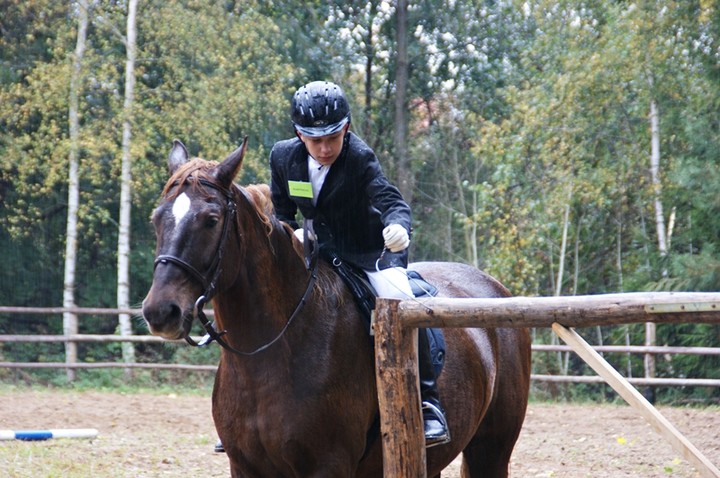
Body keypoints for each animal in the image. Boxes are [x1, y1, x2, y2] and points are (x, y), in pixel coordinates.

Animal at [142, 136, 536, 476]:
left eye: (211, 221)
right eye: (156, 219)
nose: (160, 312)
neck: (268, 353)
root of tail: (494, 287)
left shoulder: (328, 465)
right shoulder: (245, 466)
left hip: (491, 450)